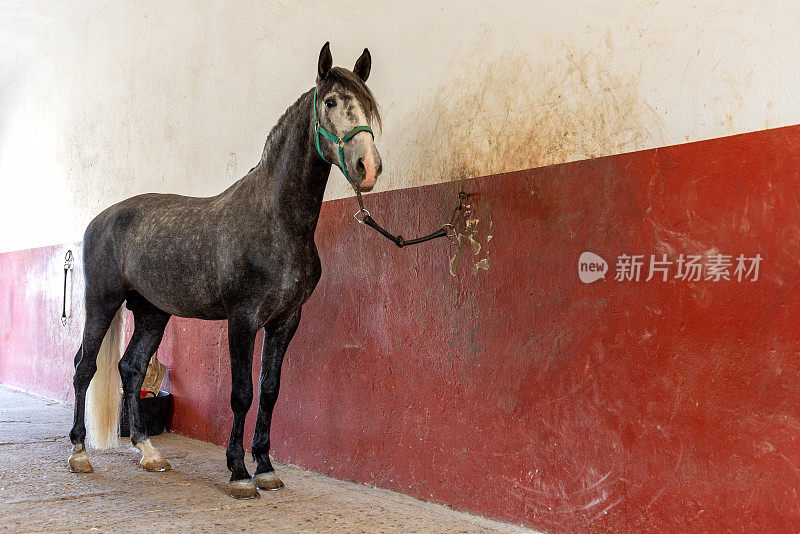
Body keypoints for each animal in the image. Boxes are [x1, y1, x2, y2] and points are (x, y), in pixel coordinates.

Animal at [68, 44, 382, 500]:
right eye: (330, 102)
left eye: (369, 105)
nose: (368, 167)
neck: (277, 221)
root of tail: (100, 219)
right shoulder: (243, 319)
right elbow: (241, 394)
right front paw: (238, 472)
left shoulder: (286, 320)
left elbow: (269, 391)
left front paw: (265, 467)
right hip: (102, 303)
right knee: (84, 367)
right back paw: (78, 453)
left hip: (152, 312)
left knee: (130, 367)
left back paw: (149, 453)